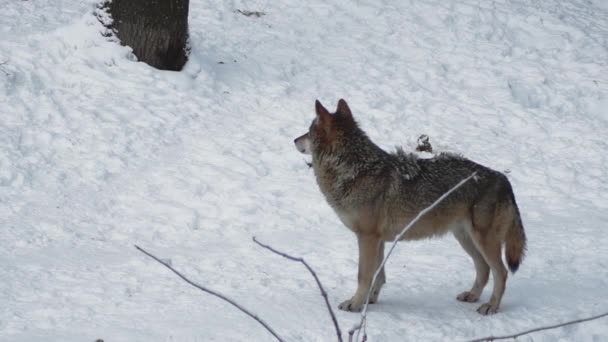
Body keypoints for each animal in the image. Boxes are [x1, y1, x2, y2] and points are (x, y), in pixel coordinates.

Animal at [294, 99, 528, 316]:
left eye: (308, 131)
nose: (294, 140)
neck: (355, 170)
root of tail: (504, 179)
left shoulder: (367, 237)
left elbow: (363, 275)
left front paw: (355, 304)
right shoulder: (377, 240)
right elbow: (378, 276)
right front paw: (369, 301)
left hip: (482, 240)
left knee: (501, 272)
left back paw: (491, 306)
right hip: (465, 238)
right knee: (484, 268)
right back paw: (472, 295)